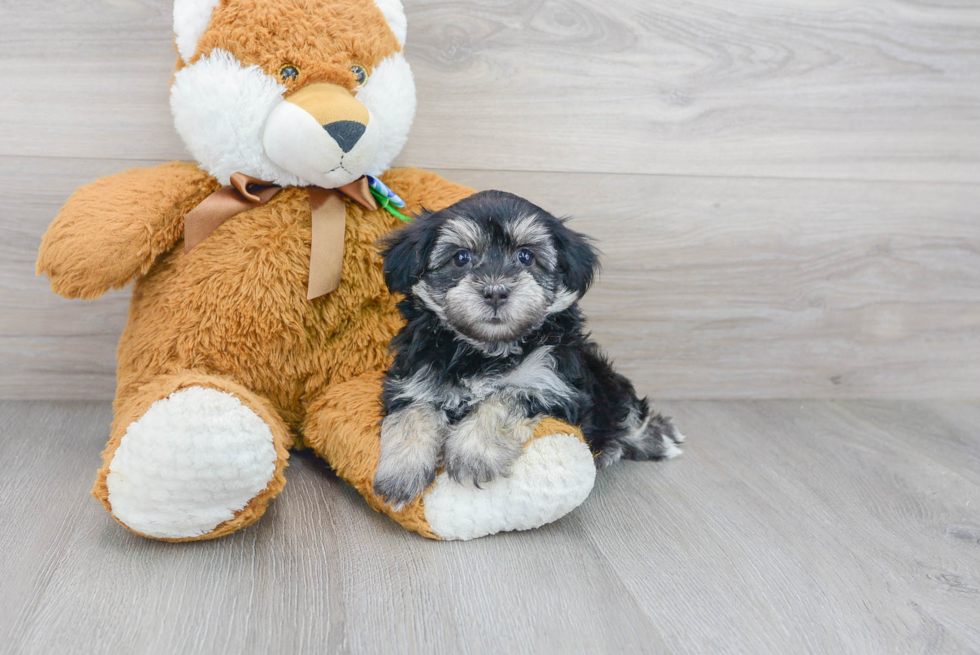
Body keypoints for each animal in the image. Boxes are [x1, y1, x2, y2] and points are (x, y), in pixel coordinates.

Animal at [372, 190, 684, 508]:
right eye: (460, 257)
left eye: (525, 256)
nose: (495, 292)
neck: (484, 351)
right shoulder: (414, 378)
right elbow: (412, 413)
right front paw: (401, 471)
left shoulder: (549, 384)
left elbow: (505, 397)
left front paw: (474, 451)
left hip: (607, 383)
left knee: (629, 415)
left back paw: (657, 439)